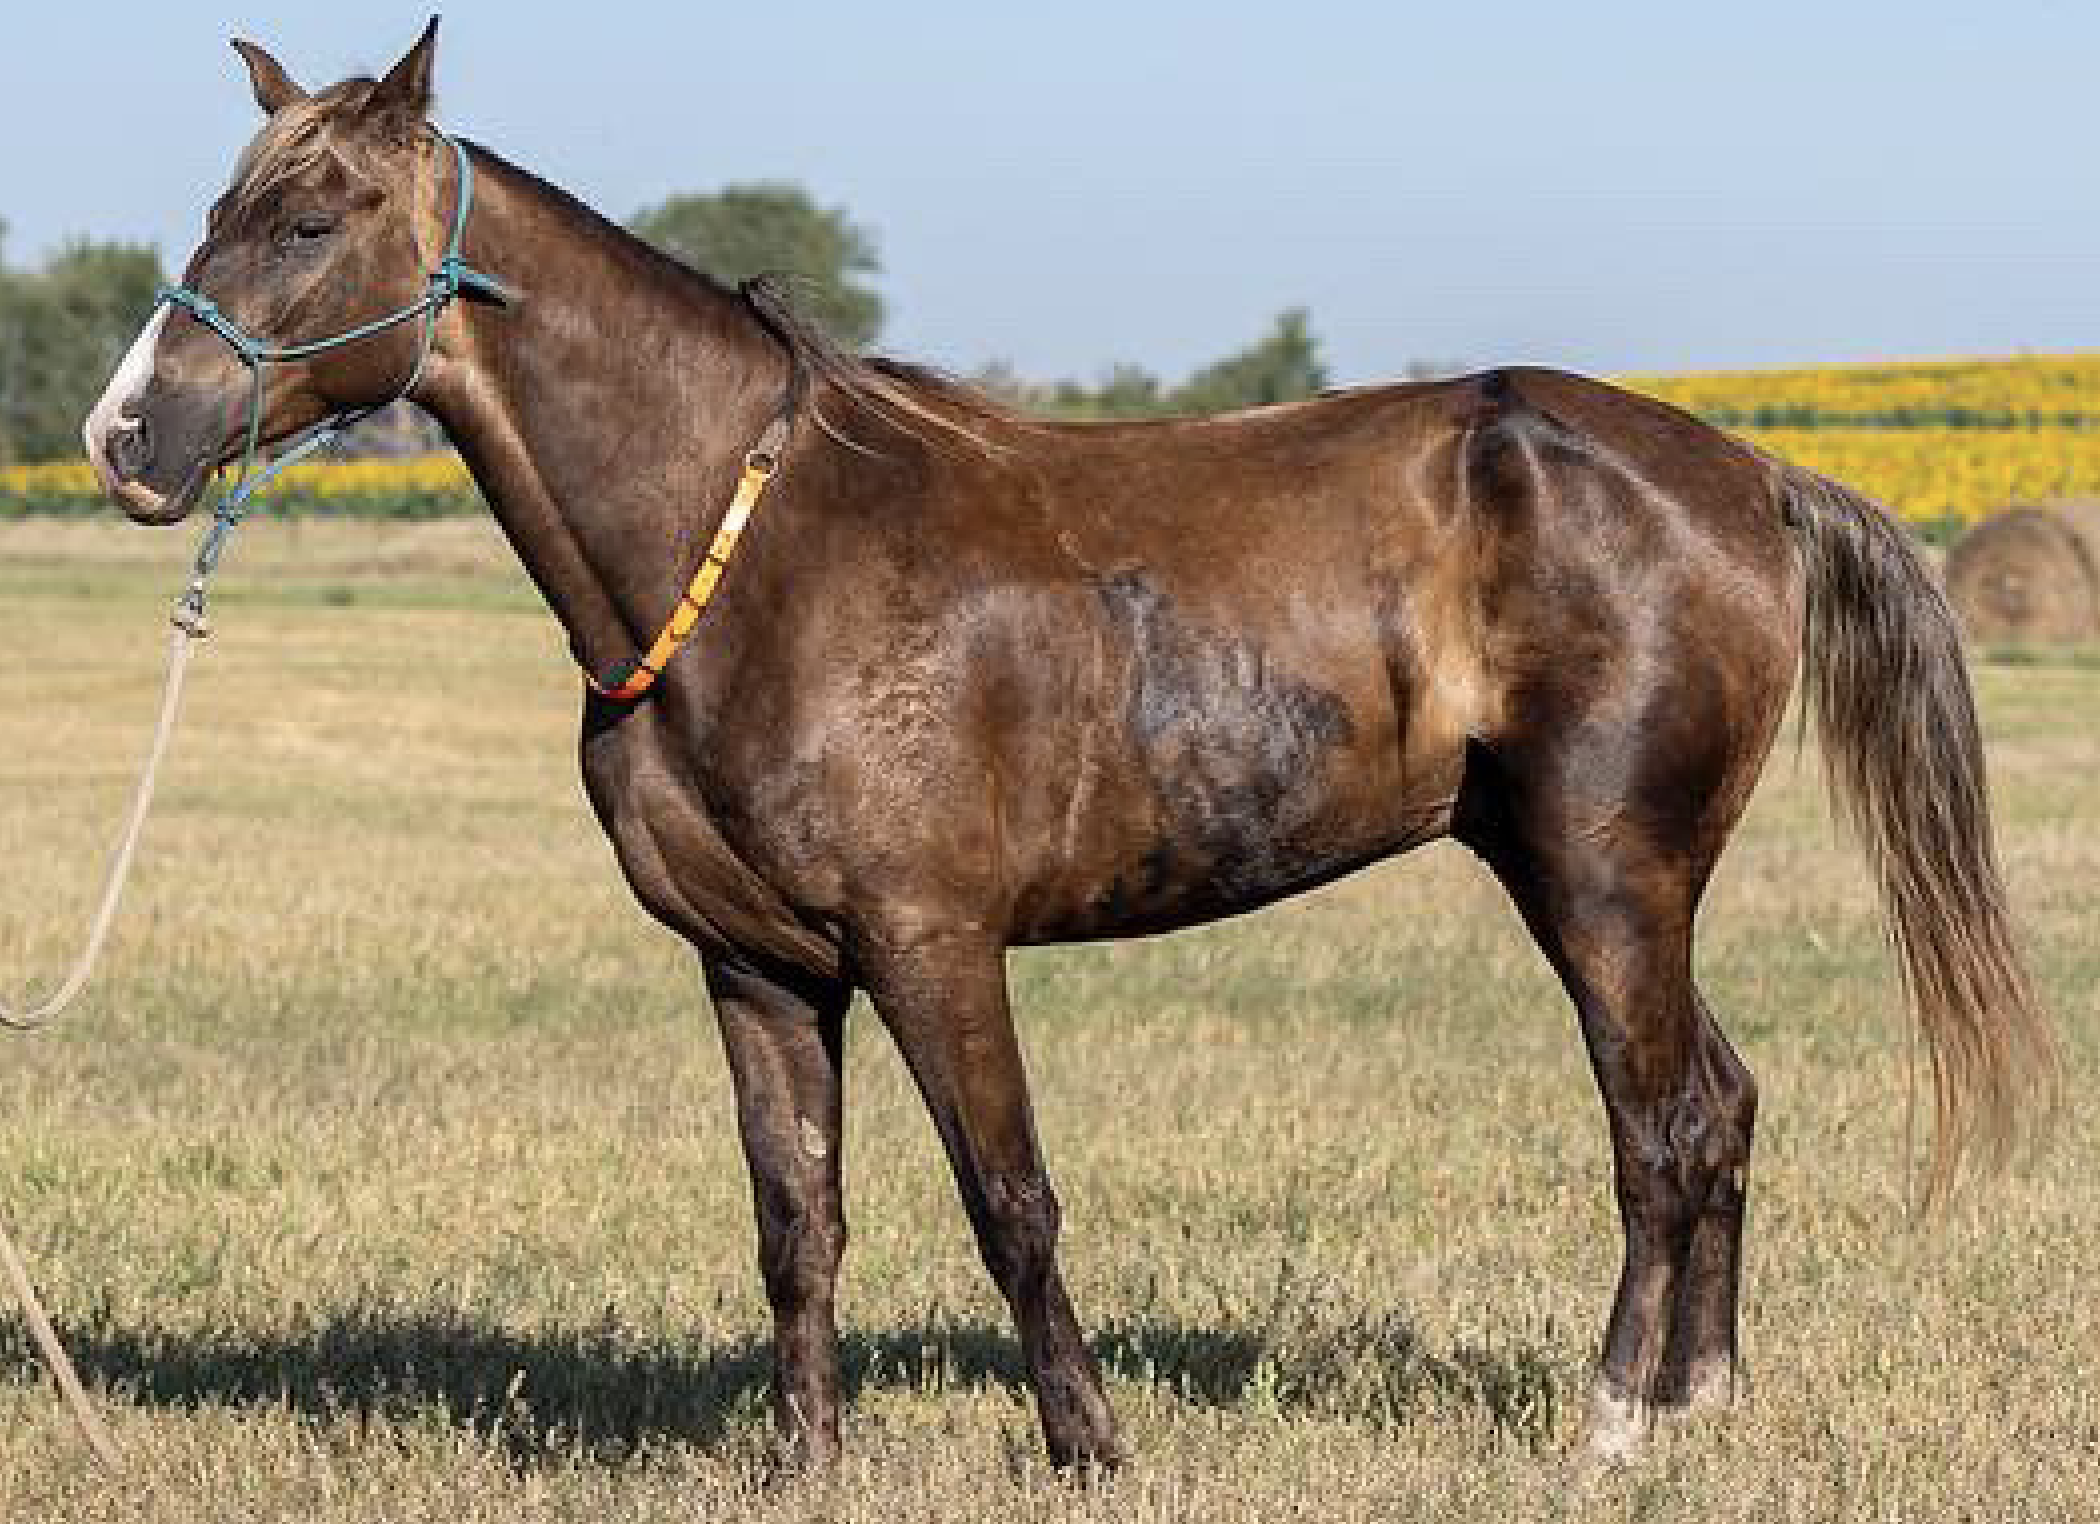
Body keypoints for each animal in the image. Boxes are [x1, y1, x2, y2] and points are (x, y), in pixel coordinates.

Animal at [83, 20, 2053, 1475]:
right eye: (225, 202)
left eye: (314, 219)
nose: (125, 436)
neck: (758, 555)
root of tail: (1742, 474)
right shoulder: (756, 967)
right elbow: (798, 1222)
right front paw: (806, 1465)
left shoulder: (933, 943)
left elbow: (1010, 1198)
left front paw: (1091, 1446)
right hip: (1593, 874)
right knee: (1721, 1105)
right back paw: (1705, 1405)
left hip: (1604, 874)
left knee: (1662, 1123)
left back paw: (1618, 1424)